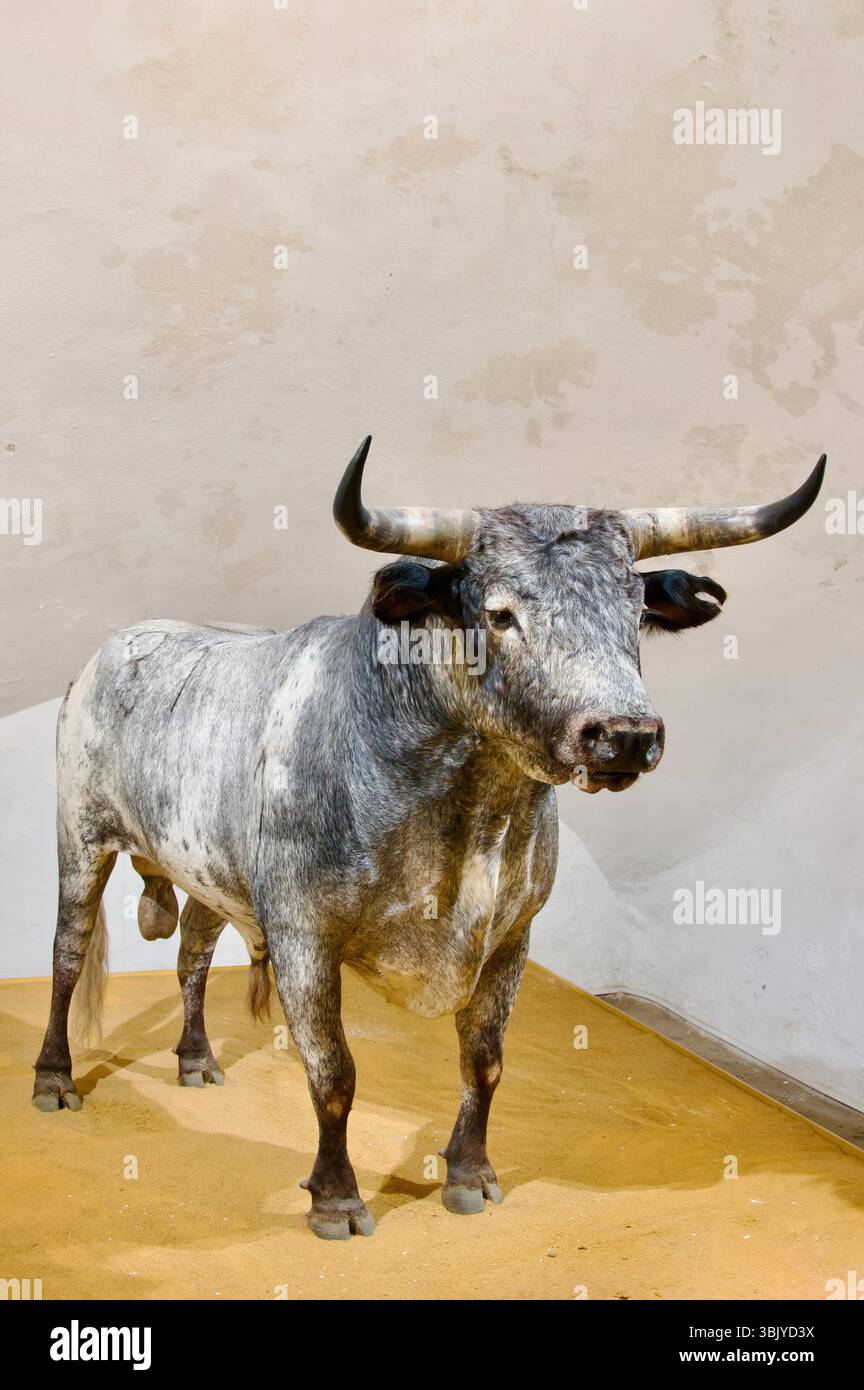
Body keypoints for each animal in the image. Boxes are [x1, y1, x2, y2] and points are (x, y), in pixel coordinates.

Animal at [32, 439, 825, 1239]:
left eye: (635, 611)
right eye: (501, 614)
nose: (625, 735)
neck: (470, 817)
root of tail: (110, 652)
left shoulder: (513, 937)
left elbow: (486, 1060)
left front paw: (469, 1175)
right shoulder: (302, 934)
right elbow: (335, 1071)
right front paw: (336, 1198)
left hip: (206, 868)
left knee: (193, 953)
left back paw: (195, 1061)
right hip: (80, 840)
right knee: (68, 957)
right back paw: (54, 1078)